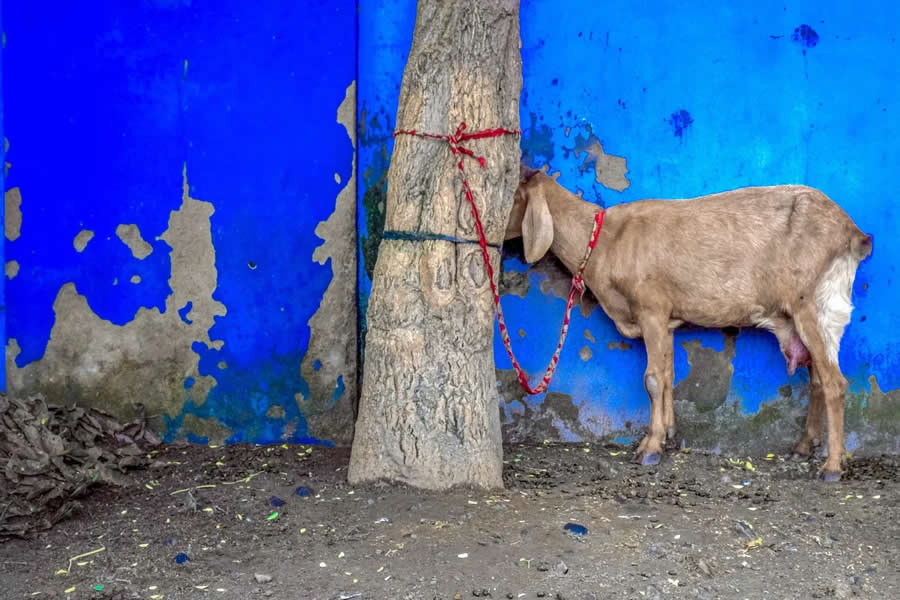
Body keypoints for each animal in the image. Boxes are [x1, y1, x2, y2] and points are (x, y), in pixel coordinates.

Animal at [506, 166, 872, 480]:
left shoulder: (652, 308)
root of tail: (853, 233)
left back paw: (831, 467)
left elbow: (653, 379)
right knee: (818, 380)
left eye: (511, 194)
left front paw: (650, 449)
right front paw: (667, 434)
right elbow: (668, 376)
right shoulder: (667, 320)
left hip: (815, 305)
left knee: (835, 383)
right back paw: (804, 447)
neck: (607, 240)